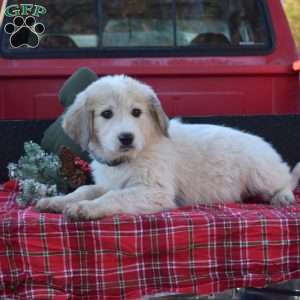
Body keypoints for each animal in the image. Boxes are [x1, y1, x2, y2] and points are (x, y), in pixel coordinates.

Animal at [36, 75, 300, 220]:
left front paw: (85, 208)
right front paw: (57, 201)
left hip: (261, 174)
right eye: (106, 114)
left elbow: (114, 196)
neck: (131, 157)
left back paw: (283, 196)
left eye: (136, 112)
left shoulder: (155, 191)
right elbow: (86, 189)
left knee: (286, 180)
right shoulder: (108, 182)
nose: (126, 138)